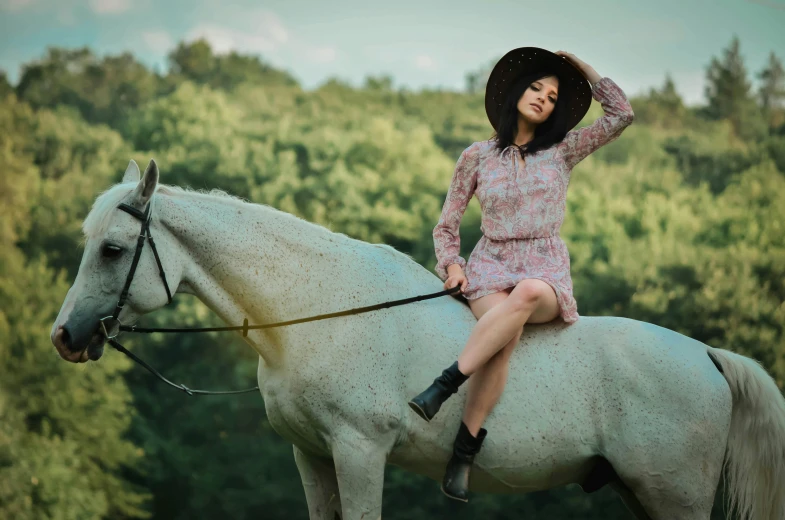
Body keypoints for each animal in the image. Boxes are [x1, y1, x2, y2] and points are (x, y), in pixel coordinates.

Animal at [50, 158, 784, 520]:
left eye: (113, 249)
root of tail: (706, 355)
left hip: (673, 497)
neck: (323, 310)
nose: (65, 336)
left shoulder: (358, 452)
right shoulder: (311, 458)